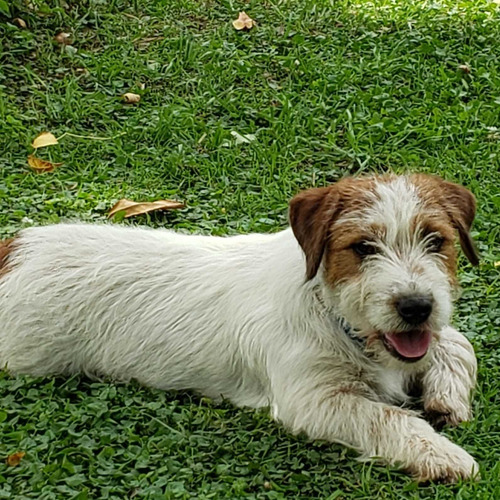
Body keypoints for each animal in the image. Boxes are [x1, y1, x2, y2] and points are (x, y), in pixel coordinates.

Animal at [0, 175, 480, 480]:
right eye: (363, 248)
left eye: (435, 240)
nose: (417, 307)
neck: (334, 314)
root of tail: (14, 250)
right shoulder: (313, 401)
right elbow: (389, 418)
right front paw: (444, 455)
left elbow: (457, 341)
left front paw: (447, 395)